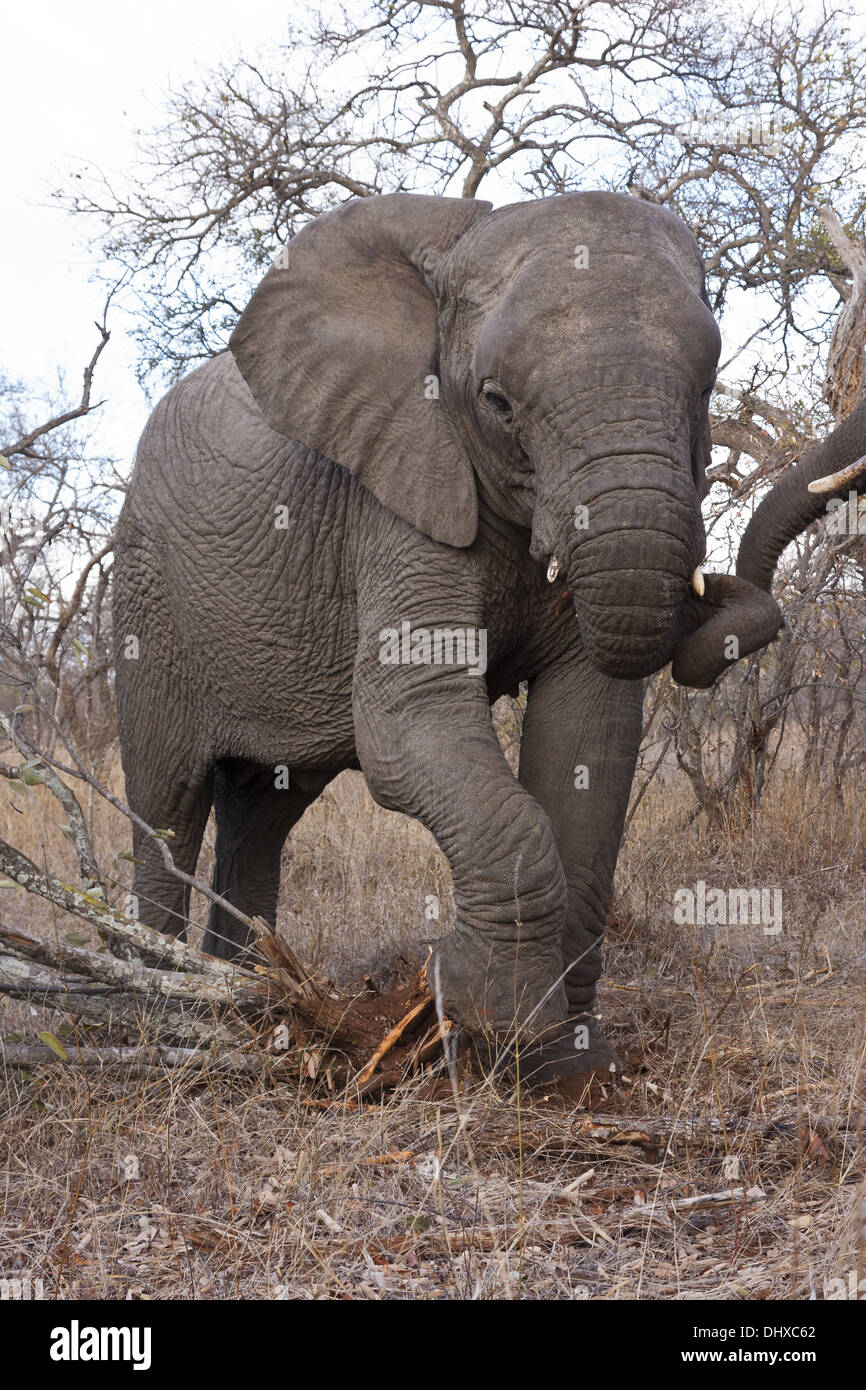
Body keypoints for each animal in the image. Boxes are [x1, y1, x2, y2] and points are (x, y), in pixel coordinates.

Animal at [113, 190, 783, 1082]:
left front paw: (564, 1065)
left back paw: (255, 1000)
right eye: (497, 403)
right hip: (146, 591)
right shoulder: (395, 495)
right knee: (169, 803)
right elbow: (407, 721)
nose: (720, 603)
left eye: (706, 392)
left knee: (263, 813)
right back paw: (164, 1016)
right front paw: (481, 1012)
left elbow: (591, 736)